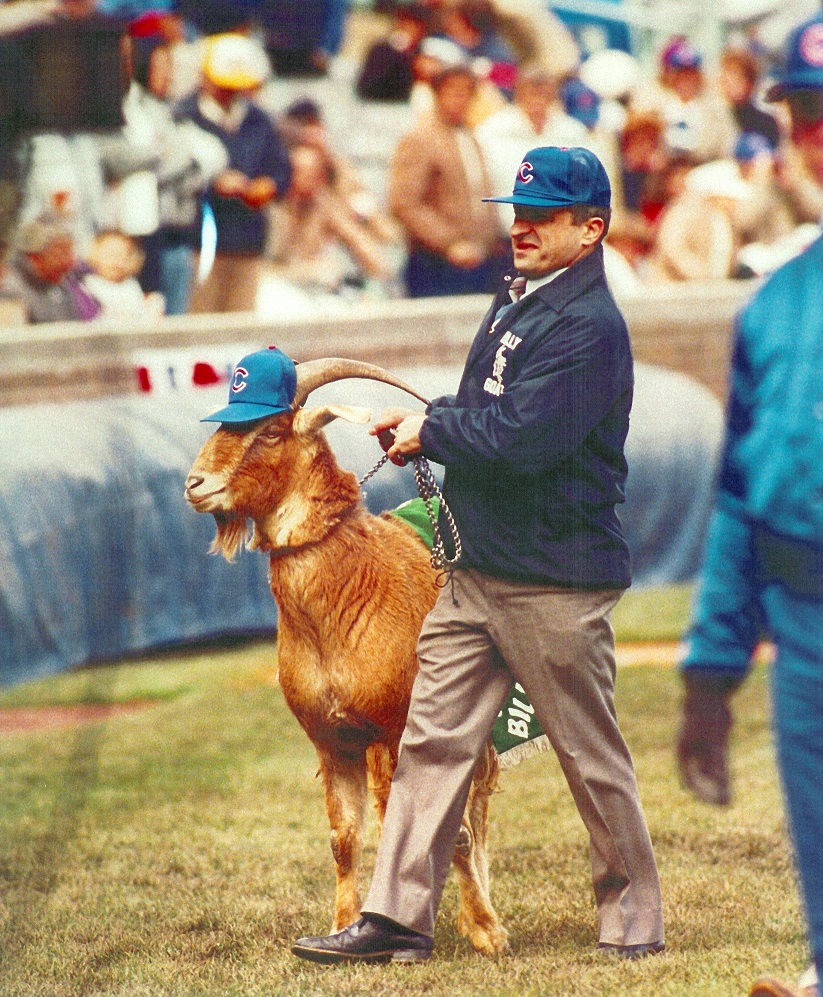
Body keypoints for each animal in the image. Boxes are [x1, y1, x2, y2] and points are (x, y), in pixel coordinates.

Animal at [186, 358, 508, 956]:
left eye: (271, 430)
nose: (196, 485)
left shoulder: (393, 728)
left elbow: (423, 829)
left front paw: (484, 932)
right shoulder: (332, 739)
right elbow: (345, 838)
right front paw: (340, 927)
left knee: (475, 813)